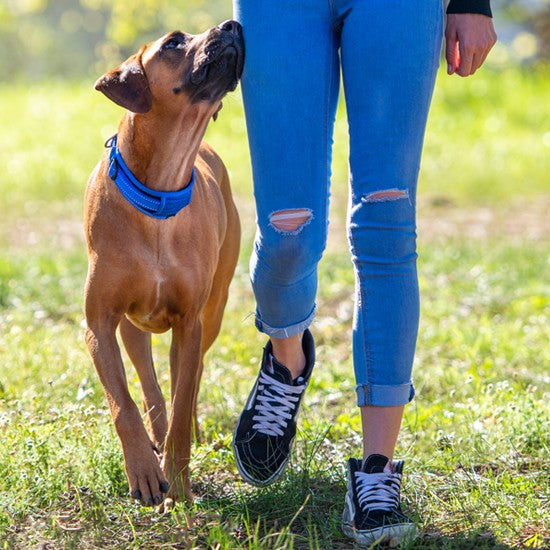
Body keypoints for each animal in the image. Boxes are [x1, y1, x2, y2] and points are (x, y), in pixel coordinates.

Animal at [83, 21, 244, 506]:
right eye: (174, 42)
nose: (233, 25)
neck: (158, 195)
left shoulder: (190, 323)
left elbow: (182, 400)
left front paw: (179, 481)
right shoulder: (99, 324)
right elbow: (124, 403)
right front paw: (143, 471)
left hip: (213, 311)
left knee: (186, 384)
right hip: (132, 326)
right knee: (149, 384)